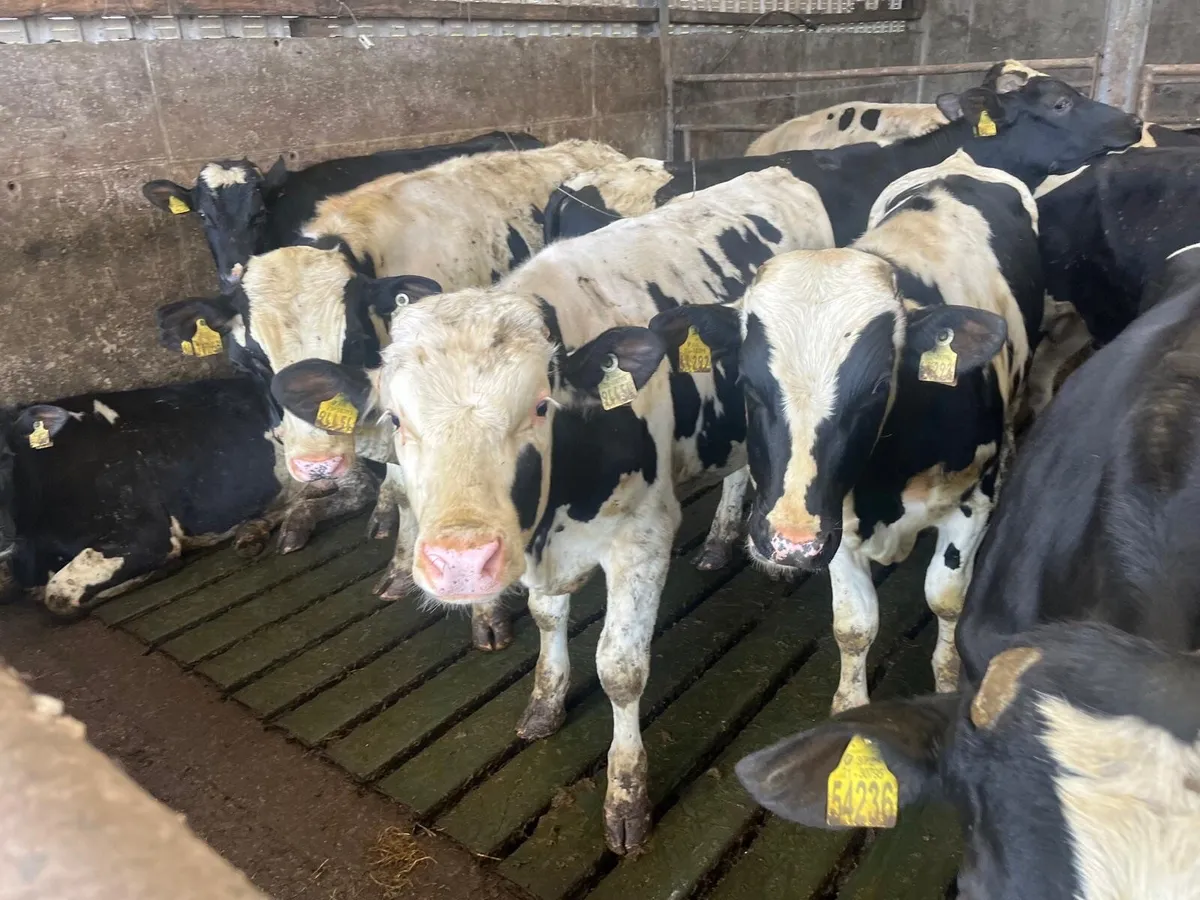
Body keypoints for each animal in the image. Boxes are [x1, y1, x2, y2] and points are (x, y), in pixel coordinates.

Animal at [269, 168, 837, 854]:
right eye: (397, 420)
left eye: (541, 406)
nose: (462, 562)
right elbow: (545, 619)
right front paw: (545, 701)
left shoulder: (644, 537)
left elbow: (620, 669)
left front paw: (627, 796)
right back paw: (720, 540)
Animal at [656, 152, 1043, 713]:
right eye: (747, 382)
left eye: (879, 385)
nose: (788, 542)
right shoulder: (833, 518)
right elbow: (855, 625)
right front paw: (849, 704)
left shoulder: (971, 503)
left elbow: (947, 600)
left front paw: (948, 677)